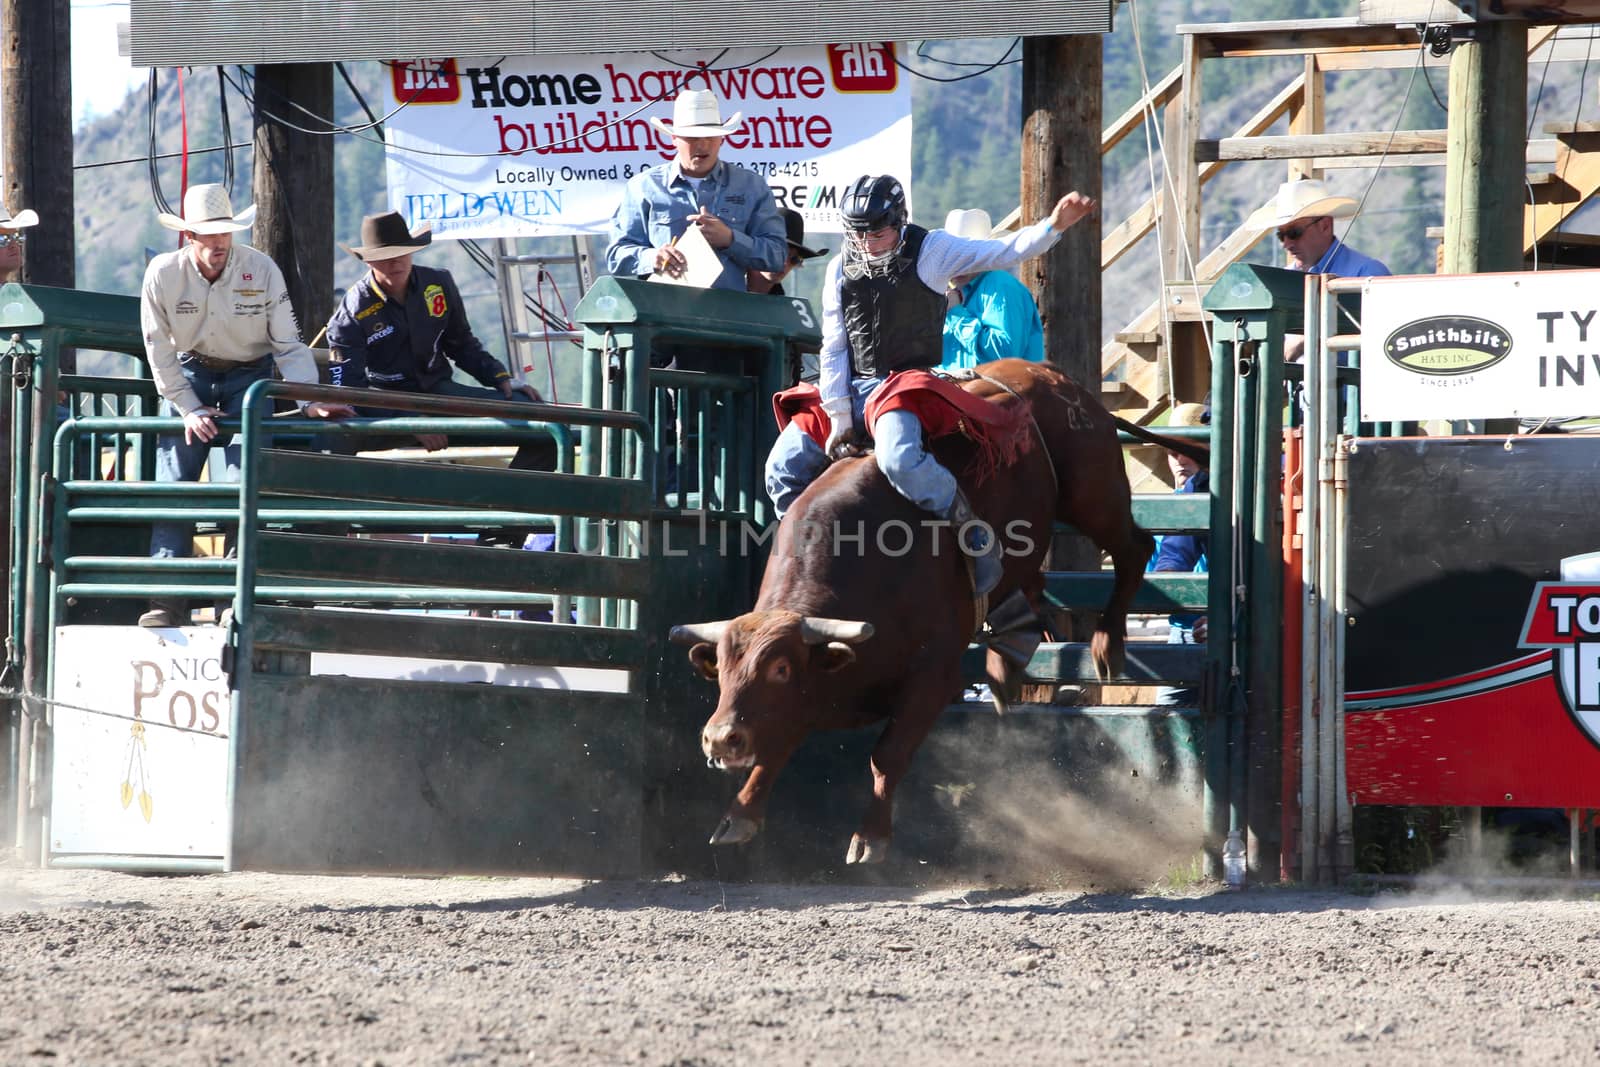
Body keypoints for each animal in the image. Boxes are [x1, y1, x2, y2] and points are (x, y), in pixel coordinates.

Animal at [662, 363, 1203, 863]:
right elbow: (774, 746)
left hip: (1093, 494)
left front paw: (871, 838)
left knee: (1134, 547)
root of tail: (1055, 377)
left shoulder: (933, 677)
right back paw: (1006, 662)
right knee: (1032, 586)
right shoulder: (802, 700)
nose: (720, 739)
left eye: (779, 668)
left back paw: (1107, 643)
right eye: (722, 669)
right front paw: (739, 815)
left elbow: (887, 755)